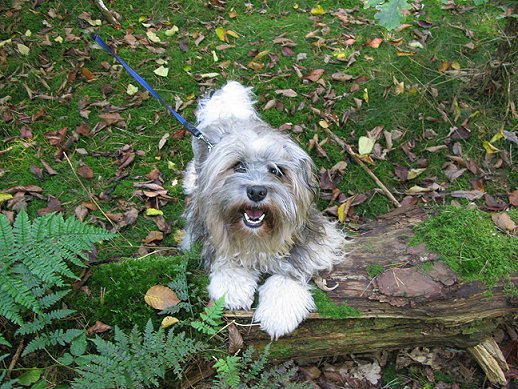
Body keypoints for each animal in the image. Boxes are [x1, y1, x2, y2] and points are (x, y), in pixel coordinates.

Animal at [183, 82, 346, 340]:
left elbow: (292, 268)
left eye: (277, 171)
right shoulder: (202, 228)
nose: (257, 191)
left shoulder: (314, 239)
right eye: (238, 166)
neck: (255, 236)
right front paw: (233, 285)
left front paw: (279, 311)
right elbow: (226, 254)